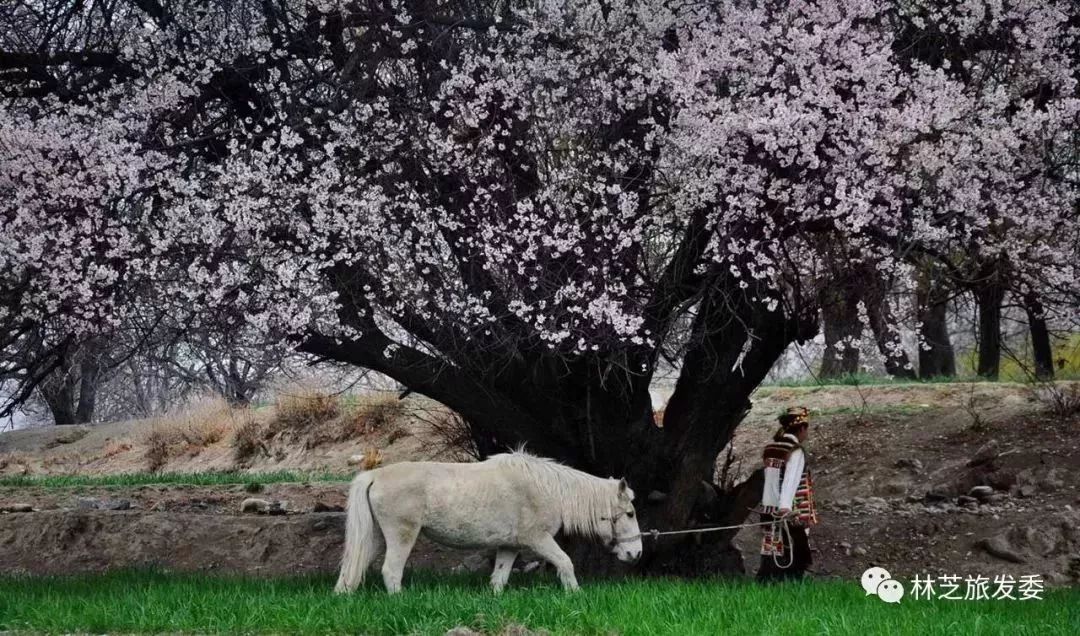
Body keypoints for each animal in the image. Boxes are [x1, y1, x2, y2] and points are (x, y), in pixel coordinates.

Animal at [334, 449, 639, 591]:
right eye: (630, 513)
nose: (635, 554)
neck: (547, 488)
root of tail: (374, 475)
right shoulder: (538, 540)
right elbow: (565, 562)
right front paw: (575, 594)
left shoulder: (510, 547)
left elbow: (499, 579)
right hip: (401, 536)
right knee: (391, 571)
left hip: (375, 538)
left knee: (351, 569)